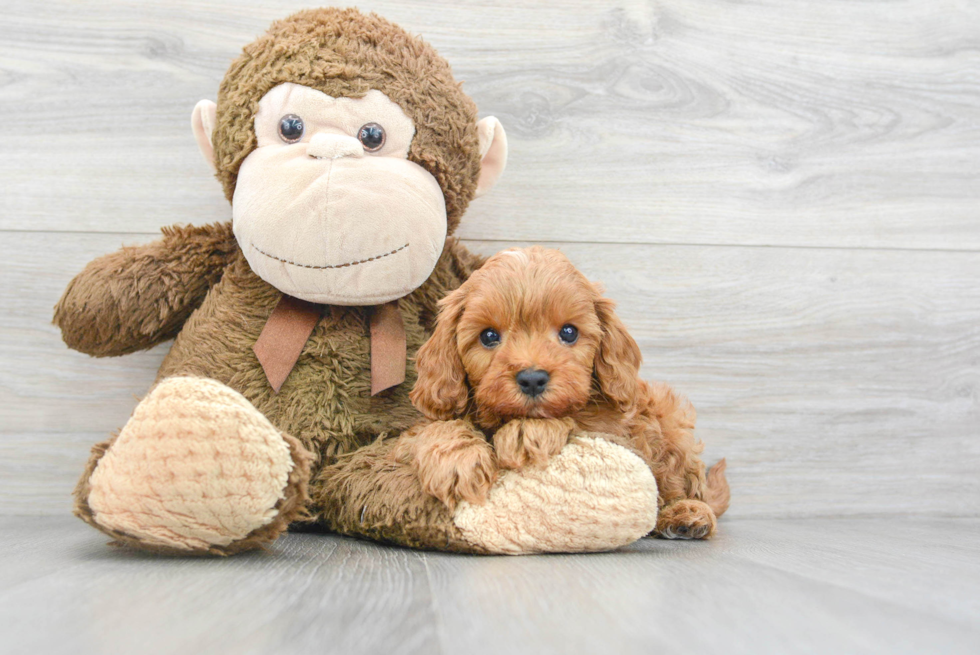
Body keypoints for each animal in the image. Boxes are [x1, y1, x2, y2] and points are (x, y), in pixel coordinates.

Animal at [398, 246, 728, 540]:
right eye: (488, 336)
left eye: (569, 332)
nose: (532, 379)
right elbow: (434, 428)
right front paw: (456, 460)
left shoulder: (615, 431)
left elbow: (575, 417)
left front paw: (526, 432)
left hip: (671, 425)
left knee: (686, 487)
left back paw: (687, 514)